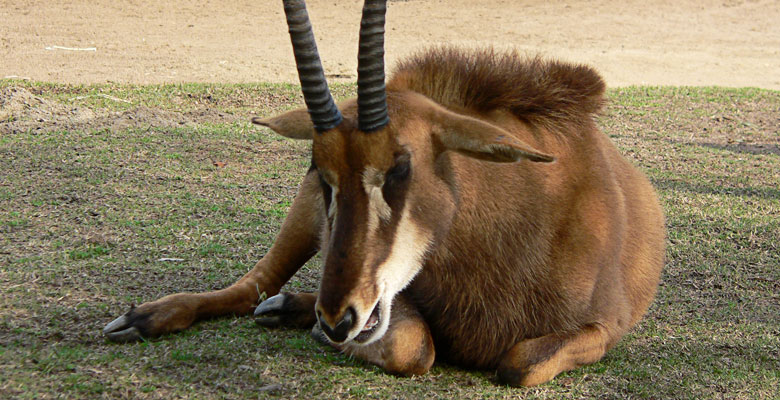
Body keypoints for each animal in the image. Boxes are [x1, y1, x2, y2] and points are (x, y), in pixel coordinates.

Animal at [103, 0, 665, 386]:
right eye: (320, 170)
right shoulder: (395, 299)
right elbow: (414, 348)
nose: (337, 320)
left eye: (401, 168)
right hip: (303, 224)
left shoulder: (603, 330)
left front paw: (310, 322)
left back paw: (292, 308)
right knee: (252, 287)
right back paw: (148, 317)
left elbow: (518, 363)